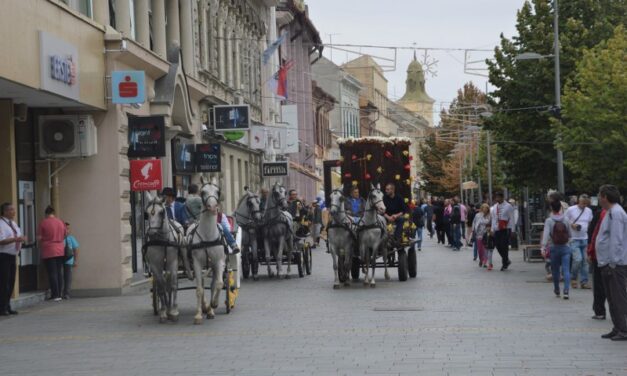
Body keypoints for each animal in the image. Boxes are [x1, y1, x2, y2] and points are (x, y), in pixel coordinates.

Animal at [145, 192, 186, 322]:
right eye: (147, 213)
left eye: (161, 212)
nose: (151, 233)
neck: (162, 241)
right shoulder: (155, 265)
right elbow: (161, 287)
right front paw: (163, 311)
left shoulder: (173, 262)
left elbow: (173, 285)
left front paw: (174, 311)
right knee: (164, 284)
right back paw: (167, 308)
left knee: (171, 283)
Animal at [186, 176, 228, 324]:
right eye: (203, 192)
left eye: (218, 191)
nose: (213, 207)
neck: (207, 236)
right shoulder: (197, 264)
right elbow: (199, 289)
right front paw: (199, 315)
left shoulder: (219, 262)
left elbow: (219, 284)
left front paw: (213, 305)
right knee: (203, 284)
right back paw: (205, 307)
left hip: (213, 266)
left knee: (213, 284)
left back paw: (210, 309)